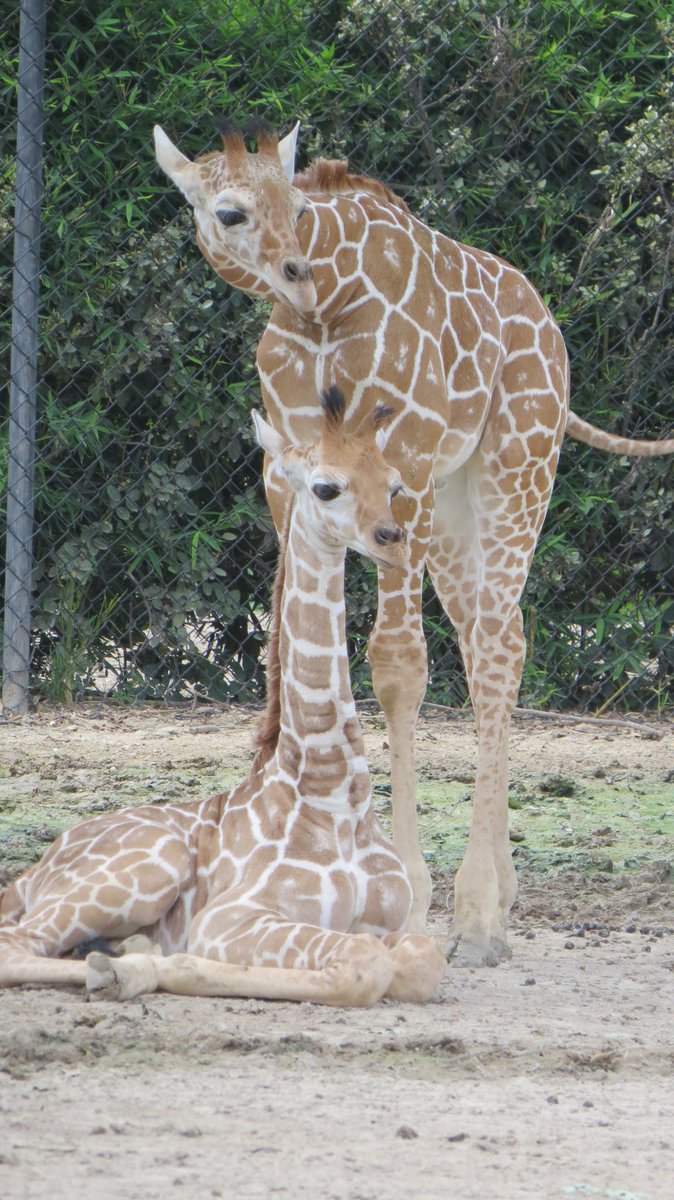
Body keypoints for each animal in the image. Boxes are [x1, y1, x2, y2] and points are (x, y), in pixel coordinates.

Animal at [0, 388, 446, 1006]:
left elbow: (421, 961)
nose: (392, 541)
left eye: (396, 485)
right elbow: (363, 966)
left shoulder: (395, 920)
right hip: (147, 870)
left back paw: (125, 953)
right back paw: (122, 968)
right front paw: (172, 966)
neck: (334, 793)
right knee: (16, 945)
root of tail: (33, 870)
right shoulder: (229, 918)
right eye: (325, 487)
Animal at [153, 119, 674, 968]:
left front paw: (414, 888)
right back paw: (503, 891)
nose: (293, 272)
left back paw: (480, 916)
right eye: (228, 211)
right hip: (460, 504)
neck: (323, 313)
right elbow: (288, 642)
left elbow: (397, 664)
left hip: (516, 465)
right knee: (499, 636)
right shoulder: (286, 468)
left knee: (494, 644)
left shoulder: (408, 459)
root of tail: (549, 325)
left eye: (297, 204)